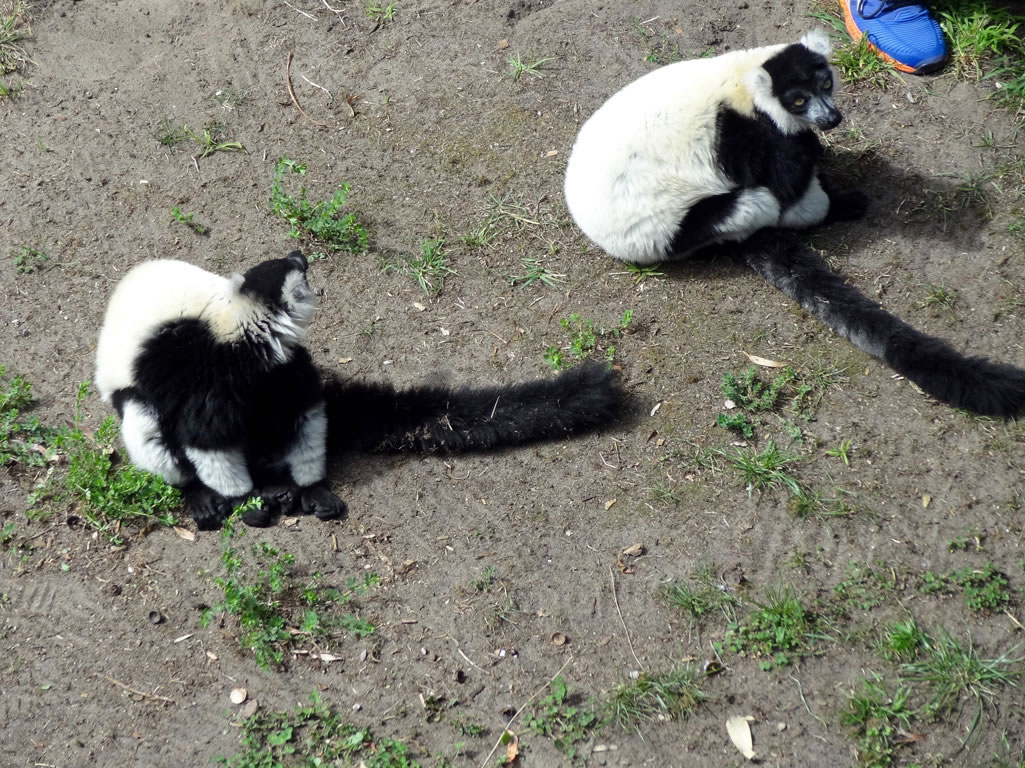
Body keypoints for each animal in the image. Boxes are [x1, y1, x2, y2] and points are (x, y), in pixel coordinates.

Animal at [95, 251, 623, 530]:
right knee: (143, 414)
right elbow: (206, 436)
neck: (242, 337)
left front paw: (311, 487)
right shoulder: (206, 376)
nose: (302, 255)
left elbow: (305, 410)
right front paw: (247, 500)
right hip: (144, 401)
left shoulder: (283, 368)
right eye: (292, 269)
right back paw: (200, 495)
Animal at [564, 29, 1025, 418]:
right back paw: (830, 204)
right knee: (759, 202)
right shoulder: (740, 136)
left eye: (825, 84)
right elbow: (783, 177)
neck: (742, 80)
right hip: (678, 229)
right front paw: (824, 181)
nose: (831, 119)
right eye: (798, 100)